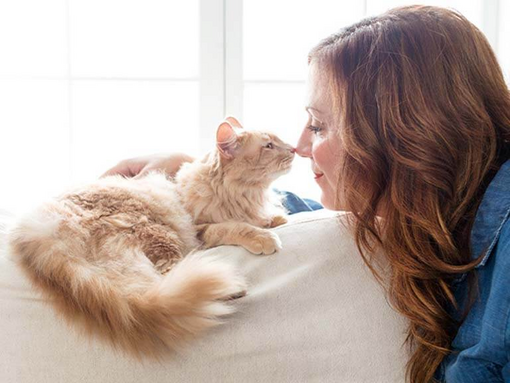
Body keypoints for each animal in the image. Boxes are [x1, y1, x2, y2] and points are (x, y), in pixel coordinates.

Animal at [7, 117, 294, 360]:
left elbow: (264, 217)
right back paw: (230, 290)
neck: (243, 194)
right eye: (269, 146)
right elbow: (234, 227)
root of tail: (38, 227)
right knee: (168, 279)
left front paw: (277, 219)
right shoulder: (200, 229)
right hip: (158, 233)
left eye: (279, 142)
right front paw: (265, 237)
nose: (293, 149)